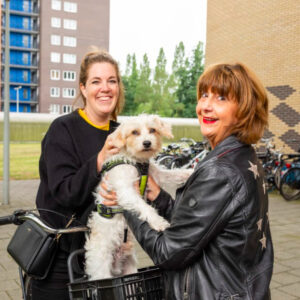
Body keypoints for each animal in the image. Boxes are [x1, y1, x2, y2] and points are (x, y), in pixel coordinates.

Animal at [84, 113, 192, 280]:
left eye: (152, 130)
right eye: (134, 132)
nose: (147, 143)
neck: (137, 162)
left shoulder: (156, 176)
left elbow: (174, 174)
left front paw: (191, 171)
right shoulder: (126, 191)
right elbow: (144, 207)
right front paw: (159, 222)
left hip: (130, 267)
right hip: (102, 270)